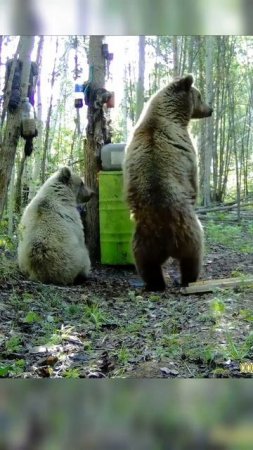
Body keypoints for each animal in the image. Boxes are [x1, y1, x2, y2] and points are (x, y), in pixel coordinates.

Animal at [123, 74, 212, 292]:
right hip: (190, 232)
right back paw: (189, 279)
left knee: (147, 266)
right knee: (192, 257)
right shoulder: (187, 149)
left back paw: (155, 283)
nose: (210, 109)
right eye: (199, 95)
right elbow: (192, 179)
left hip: (141, 242)